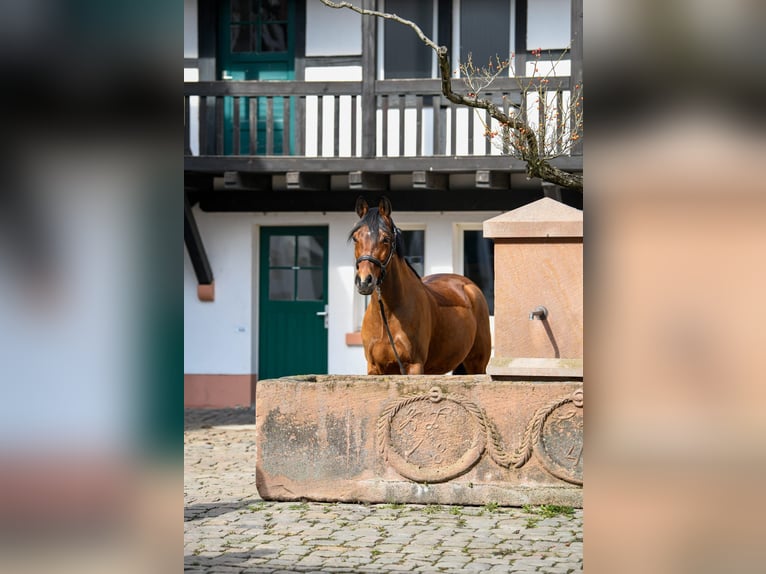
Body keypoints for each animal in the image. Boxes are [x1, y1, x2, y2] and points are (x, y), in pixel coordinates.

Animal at [349, 196, 492, 375]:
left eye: (385, 239)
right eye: (355, 238)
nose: (364, 281)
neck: (387, 315)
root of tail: (470, 286)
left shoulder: (414, 366)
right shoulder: (374, 368)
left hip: (477, 364)